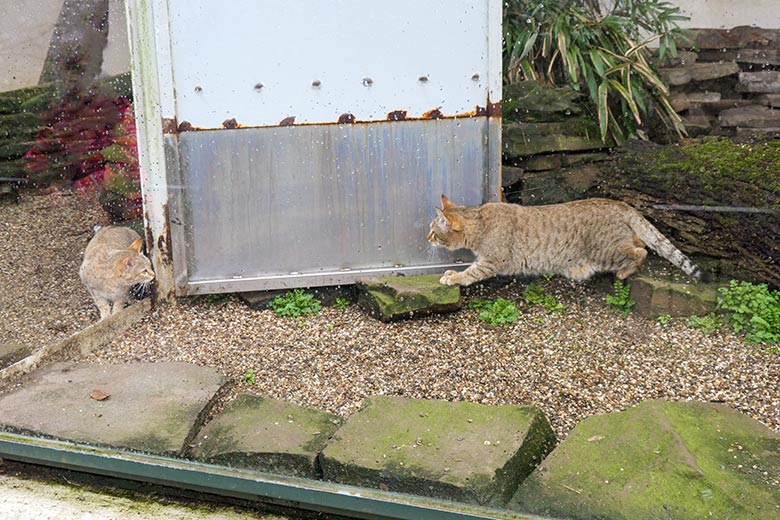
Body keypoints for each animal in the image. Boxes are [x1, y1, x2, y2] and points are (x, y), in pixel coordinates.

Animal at [426, 195, 708, 286]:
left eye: (433, 231)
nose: (426, 237)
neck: (480, 222)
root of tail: (618, 204)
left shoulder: (493, 261)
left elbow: (471, 272)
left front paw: (454, 277)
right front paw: (452, 271)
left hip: (606, 250)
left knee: (641, 251)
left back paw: (624, 272)